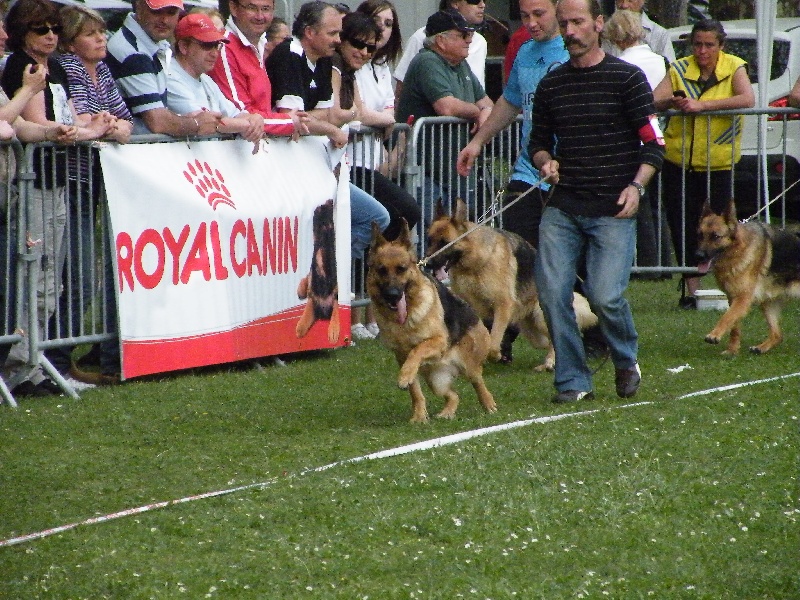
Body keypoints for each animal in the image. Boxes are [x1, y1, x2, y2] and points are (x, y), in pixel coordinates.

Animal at [296, 200, 340, 344]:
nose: (329, 201)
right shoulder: (313, 302)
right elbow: (303, 322)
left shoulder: (335, 300)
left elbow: (335, 315)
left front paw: (333, 331)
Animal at [368, 219, 494, 422]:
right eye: (381, 270)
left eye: (401, 269)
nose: (392, 296)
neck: (406, 317)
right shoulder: (400, 356)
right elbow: (415, 391)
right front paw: (419, 416)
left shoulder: (438, 341)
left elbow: (417, 349)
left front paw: (404, 377)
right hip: (435, 381)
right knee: (454, 394)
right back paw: (447, 413)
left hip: (469, 366)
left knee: (478, 382)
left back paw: (489, 405)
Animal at [428, 199, 596, 372]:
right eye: (429, 240)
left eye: (444, 243)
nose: (427, 264)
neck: (475, 262)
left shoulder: (503, 306)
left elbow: (493, 340)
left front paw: (495, 355)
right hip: (532, 332)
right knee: (546, 340)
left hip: (541, 317)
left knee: (558, 337)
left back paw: (550, 362)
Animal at [692, 199, 800, 354]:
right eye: (700, 235)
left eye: (716, 236)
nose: (698, 256)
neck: (738, 249)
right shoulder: (733, 298)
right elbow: (734, 325)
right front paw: (732, 350)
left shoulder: (743, 298)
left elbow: (727, 317)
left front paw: (715, 335)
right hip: (767, 304)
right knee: (778, 335)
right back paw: (761, 348)